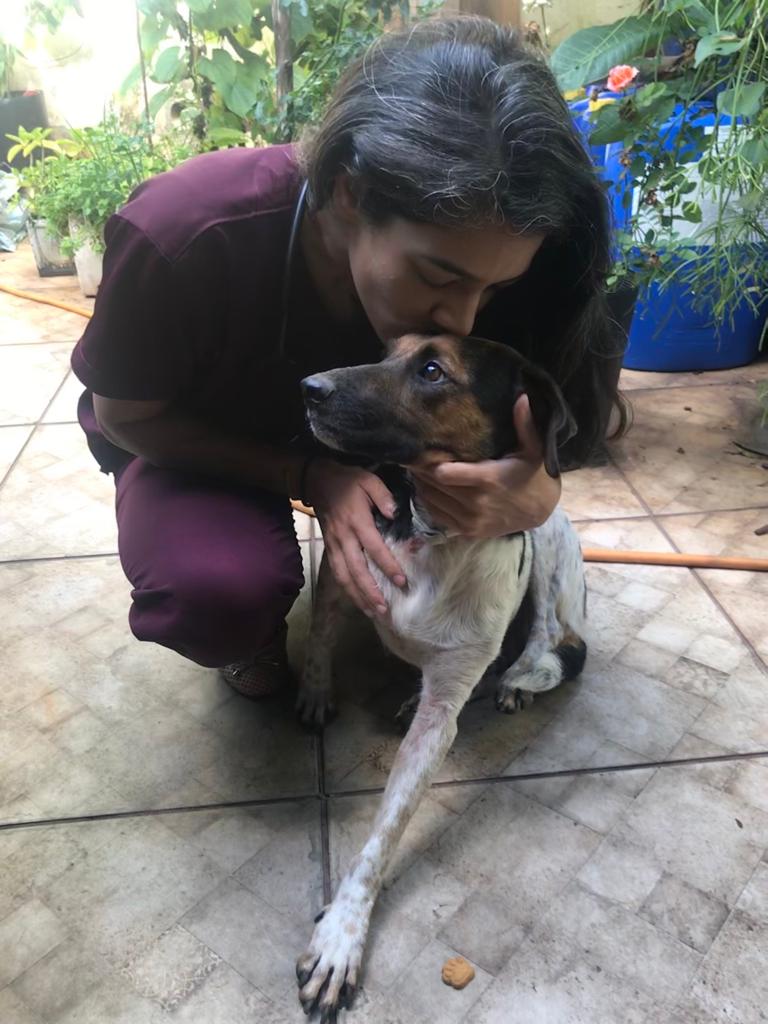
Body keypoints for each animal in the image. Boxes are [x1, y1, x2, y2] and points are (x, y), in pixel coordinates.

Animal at [294, 333, 587, 1020]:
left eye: (432, 371)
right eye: (386, 351)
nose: (308, 388)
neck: (432, 533)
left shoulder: (441, 717)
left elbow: (382, 838)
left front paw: (341, 936)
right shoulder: (345, 567)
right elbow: (319, 638)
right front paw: (314, 693)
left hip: (549, 545)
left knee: (545, 644)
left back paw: (512, 683)